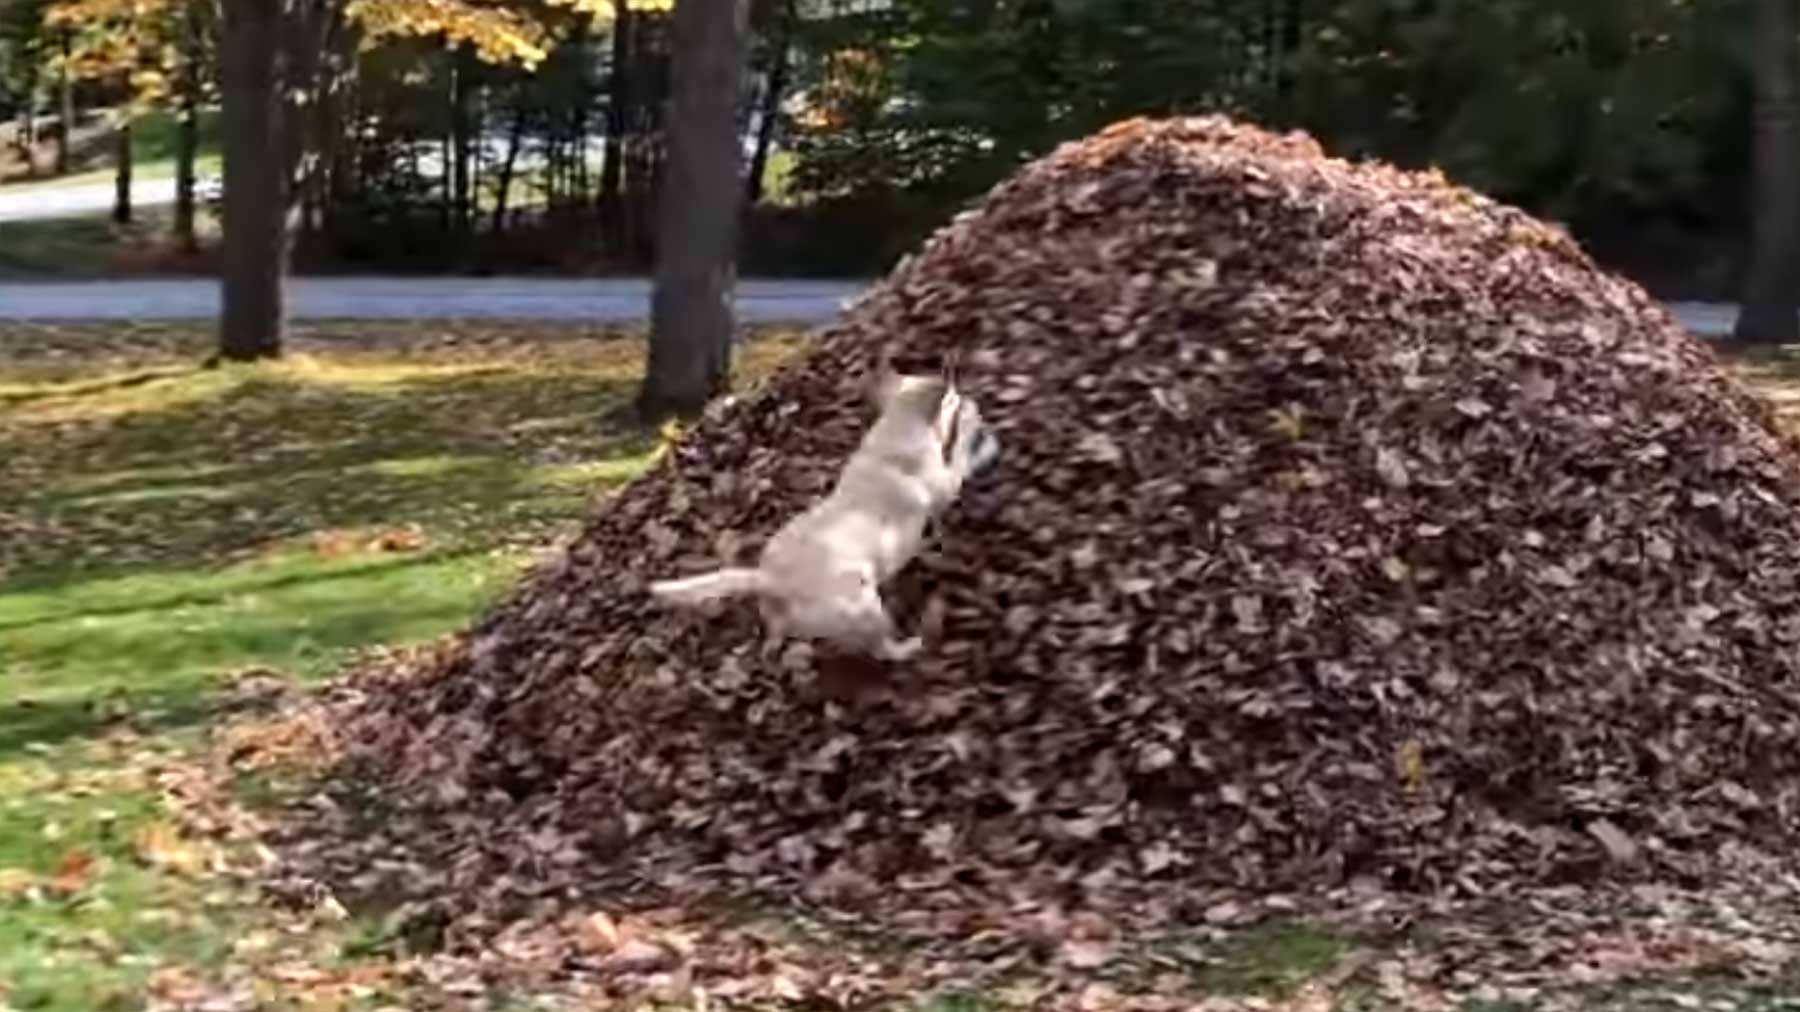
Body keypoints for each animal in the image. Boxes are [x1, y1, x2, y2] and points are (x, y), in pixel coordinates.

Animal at [651, 358, 1015, 659]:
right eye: (956, 400)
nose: (964, 394)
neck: (896, 428)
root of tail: (769, 579)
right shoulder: (945, 484)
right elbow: (960, 460)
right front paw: (972, 426)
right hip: (864, 604)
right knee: (882, 650)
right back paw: (909, 646)